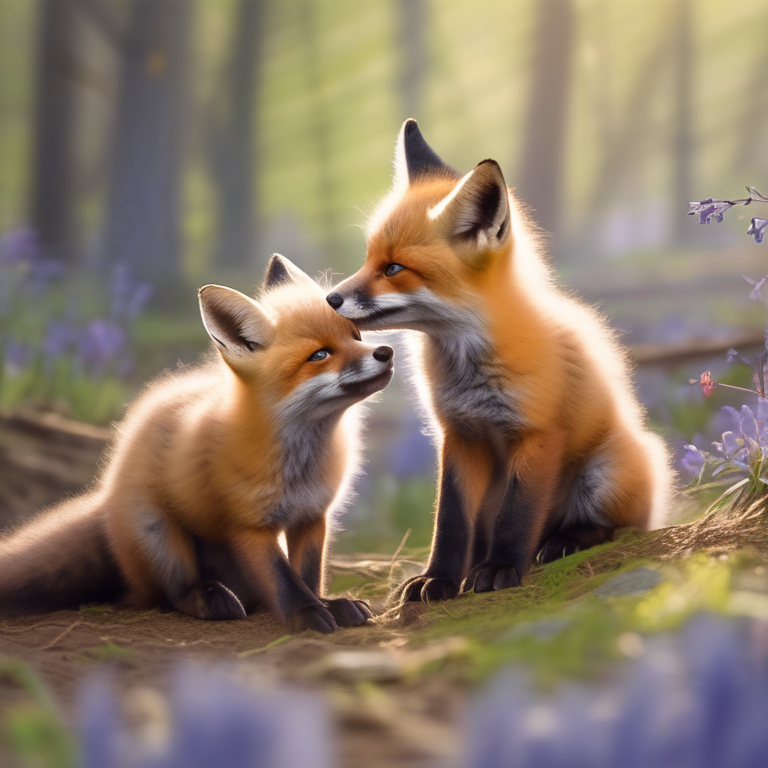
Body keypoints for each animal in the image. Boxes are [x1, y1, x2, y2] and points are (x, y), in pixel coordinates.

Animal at [0, 255, 394, 633]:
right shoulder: (249, 525)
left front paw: (325, 604)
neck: (300, 467)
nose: (386, 352)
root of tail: (106, 496)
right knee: (166, 595)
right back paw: (207, 598)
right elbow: (284, 579)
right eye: (319, 355)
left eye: (356, 335)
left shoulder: (312, 516)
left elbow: (309, 575)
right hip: (162, 540)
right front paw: (306, 615)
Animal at [326, 119, 673, 603]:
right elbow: (450, 521)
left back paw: (562, 541)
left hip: (606, 471)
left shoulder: (537, 434)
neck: (469, 368)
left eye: (394, 269)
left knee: (614, 526)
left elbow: (518, 515)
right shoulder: (459, 435)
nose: (330, 299)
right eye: (368, 260)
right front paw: (438, 578)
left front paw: (501, 569)